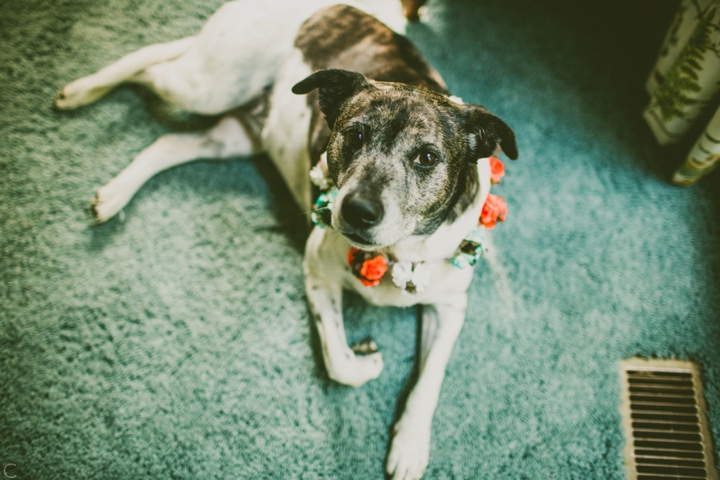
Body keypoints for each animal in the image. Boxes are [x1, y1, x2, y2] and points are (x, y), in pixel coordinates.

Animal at [56, 1, 516, 478]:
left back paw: (115, 194)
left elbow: (429, 381)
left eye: (427, 157)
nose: (357, 210)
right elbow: (340, 362)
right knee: (149, 67)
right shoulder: (317, 269)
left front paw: (410, 446)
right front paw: (368, 359)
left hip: (233, 135)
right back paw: (81, 90)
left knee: (166, 141)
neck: (398, 252)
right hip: (206, 87)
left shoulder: (451, 306)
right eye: (355, 135)